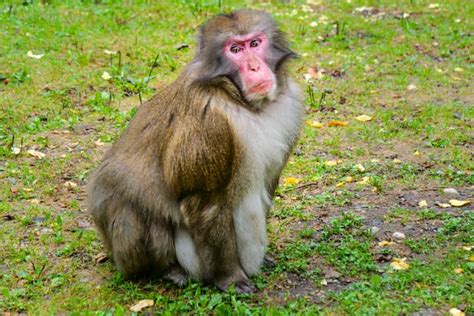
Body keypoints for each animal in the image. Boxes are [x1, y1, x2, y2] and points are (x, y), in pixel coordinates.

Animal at [88, 8, 304, 294]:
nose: (254, 67)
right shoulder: (209, 126)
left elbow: (268, 184)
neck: (241, 101)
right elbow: (205, 202)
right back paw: (166, 270)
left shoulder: (291, 106)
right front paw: (230, 278)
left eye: (255, 43)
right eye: (235, 49)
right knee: (135, 209)